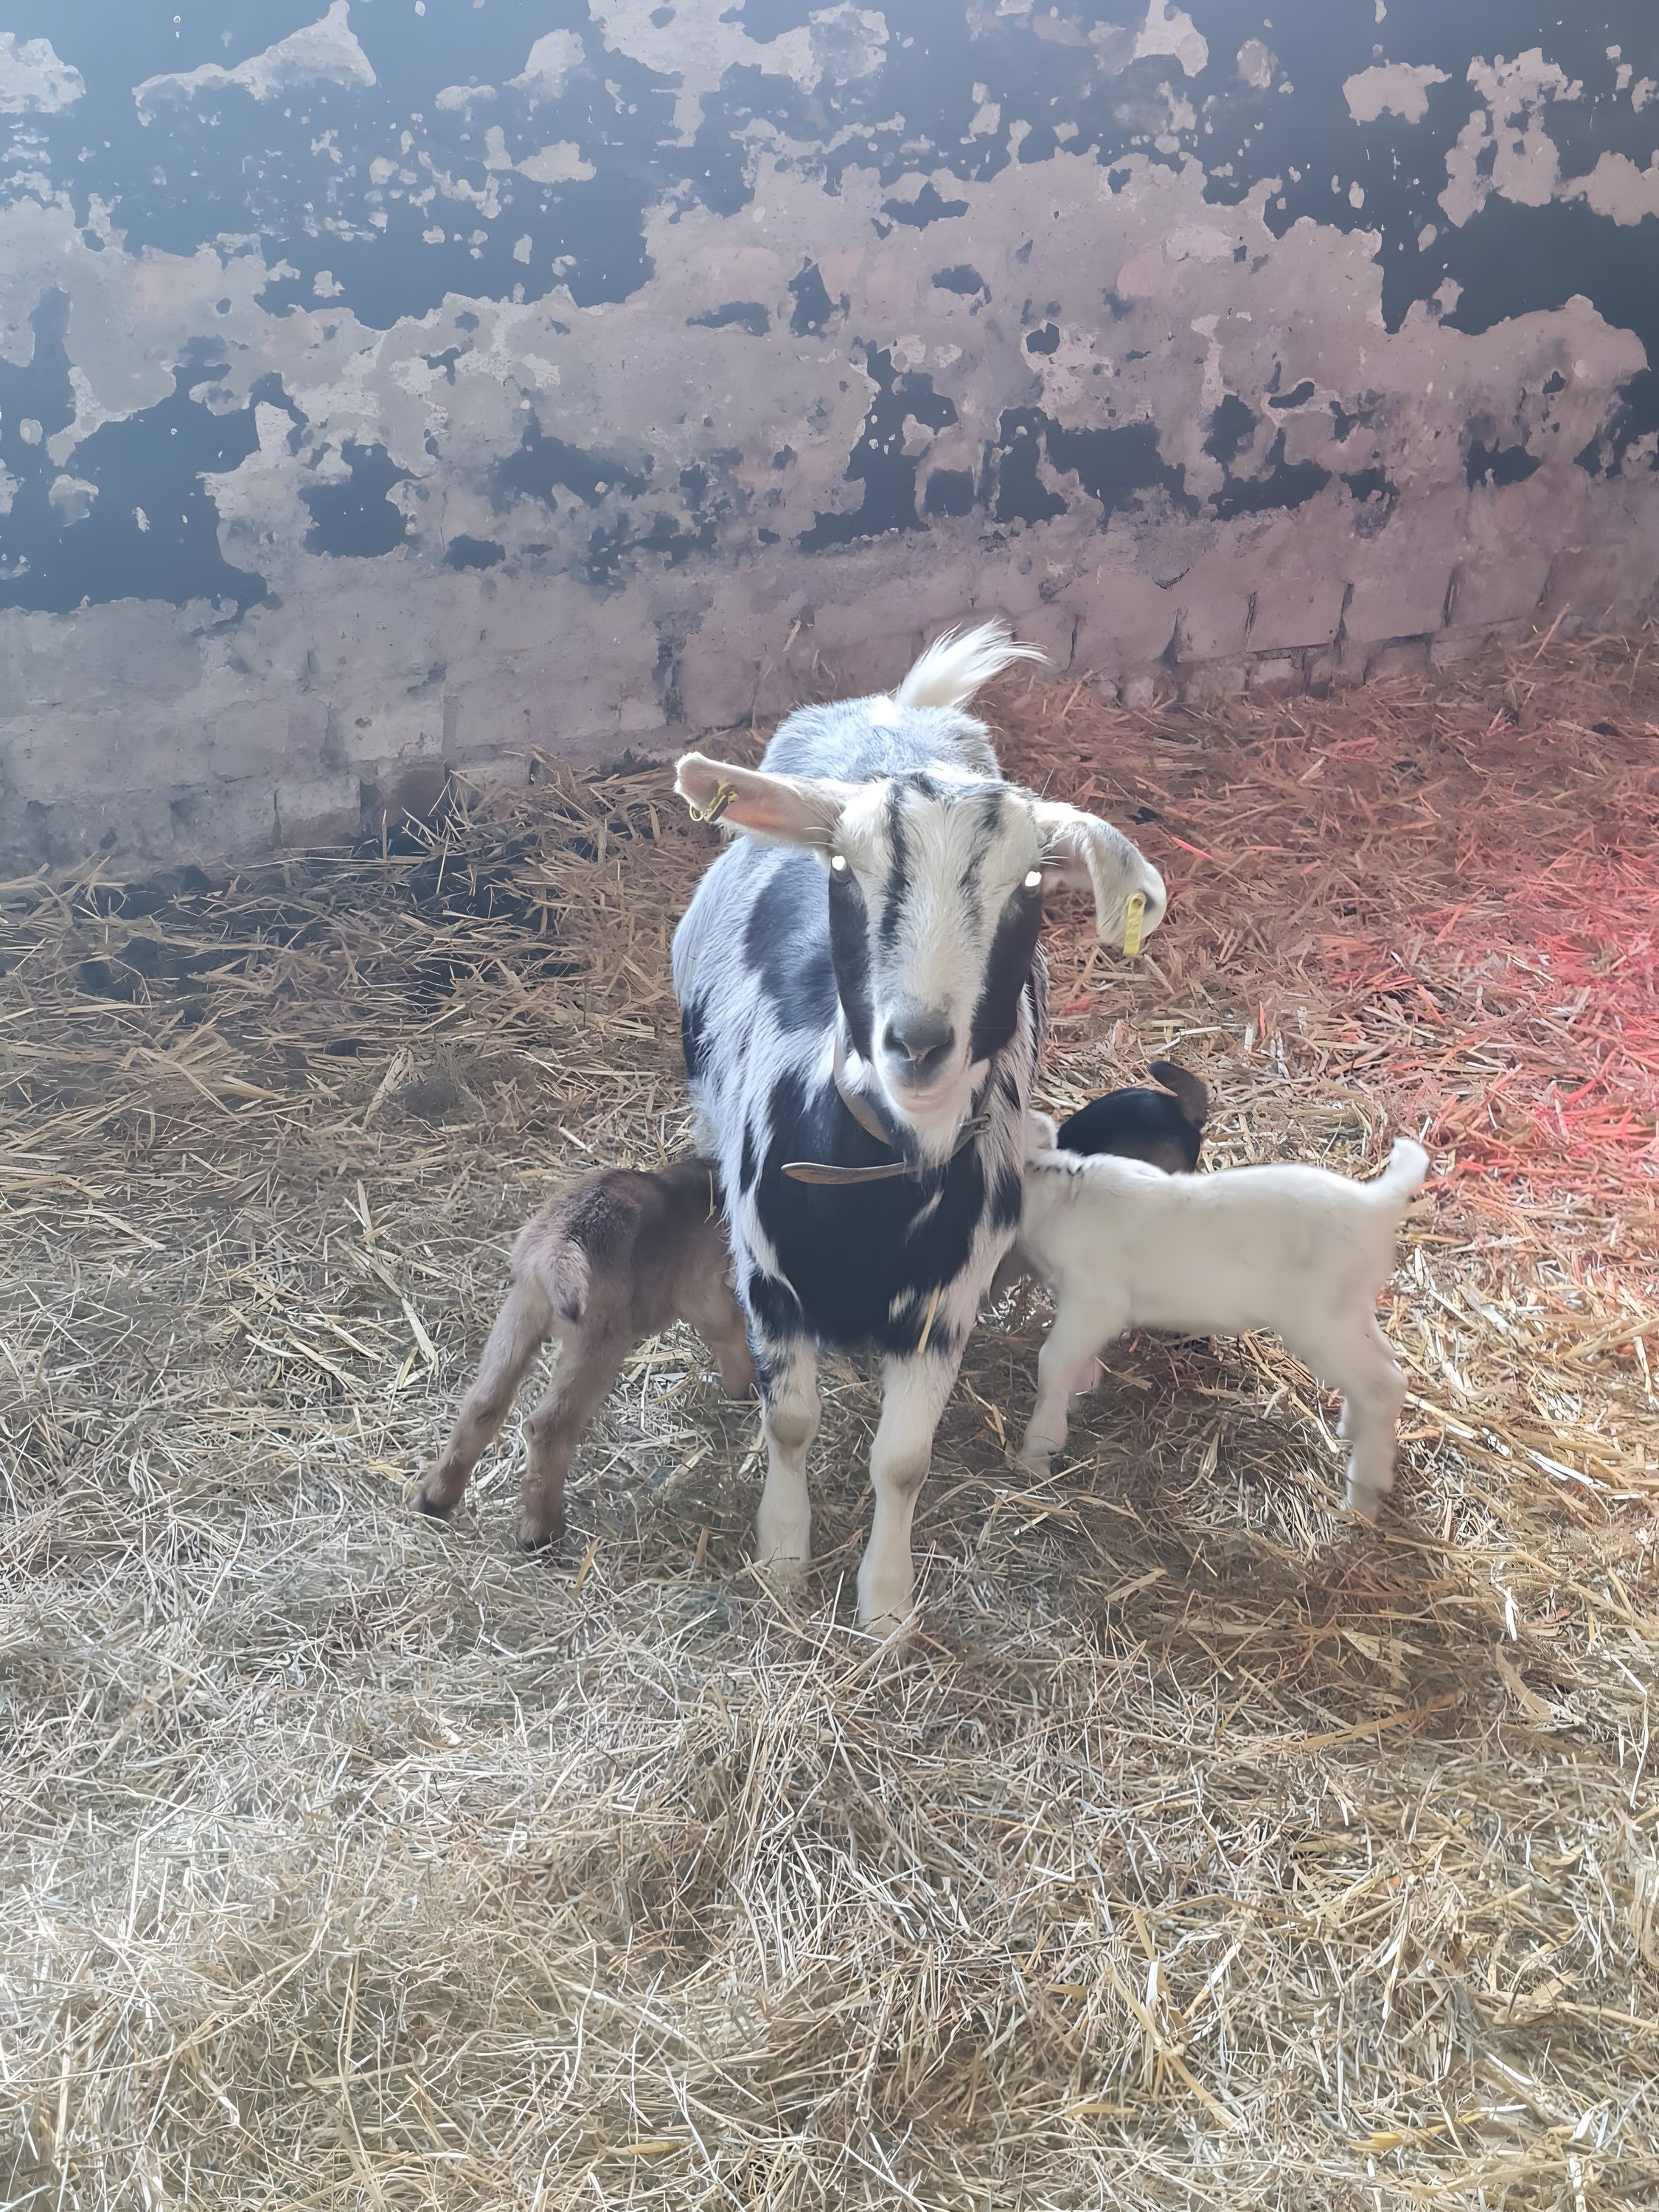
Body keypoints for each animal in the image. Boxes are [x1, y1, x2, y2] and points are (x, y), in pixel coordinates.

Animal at [415, 1159, 753, 1548]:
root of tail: (562, 1244)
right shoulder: (703, 1293)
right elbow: (731, 1331)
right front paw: (744, 1391)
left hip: (521, 1311)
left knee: (484, 1401)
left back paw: (434, 1498)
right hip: (598, 1339)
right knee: (551, 1426)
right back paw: (541, 1534)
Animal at [670, 621, 1167, 1631]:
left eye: (1031, 884)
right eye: (839, 866)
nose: (919, 1041)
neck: (873, 1182)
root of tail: (895, 711)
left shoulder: (948, 1298)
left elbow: (901, 1462)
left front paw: (886, 1604)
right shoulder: (769, 1278)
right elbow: (790, 1423)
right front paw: (783, 1556)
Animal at [1015, 1124, 1427, 1519]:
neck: (1063, 1195)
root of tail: (1376, 1205)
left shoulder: (1095, 1299)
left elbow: (1053, 1360)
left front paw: (1038, 1450)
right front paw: (1079, 1393)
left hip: (1323, 1323)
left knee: (1382, 1386)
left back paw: (1363, 1496)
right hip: (1351, 1312)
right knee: (1388, 1366)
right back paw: (1353, 1430)